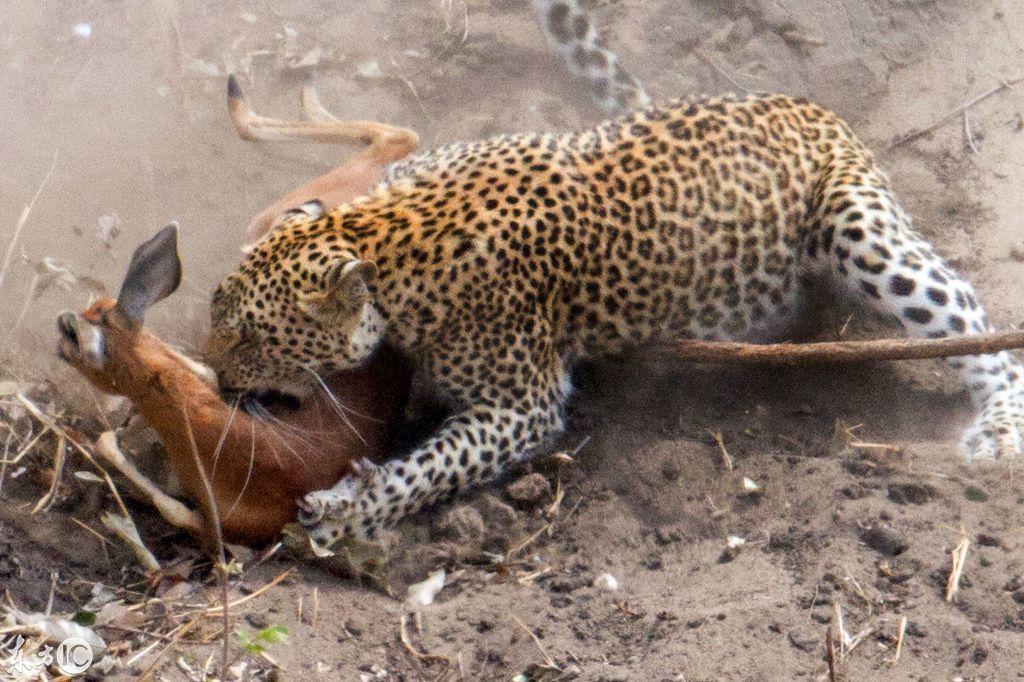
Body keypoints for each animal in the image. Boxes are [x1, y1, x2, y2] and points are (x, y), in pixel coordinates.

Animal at [203, 1, 1024, 548]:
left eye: (251, 339)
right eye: (215, 310)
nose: (212, 378)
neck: (387, 232)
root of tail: (803, 101)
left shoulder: (521, 406)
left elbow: (428, 468)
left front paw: (347, 510)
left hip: (857, 226)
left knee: (970, 312)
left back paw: (997, 431)